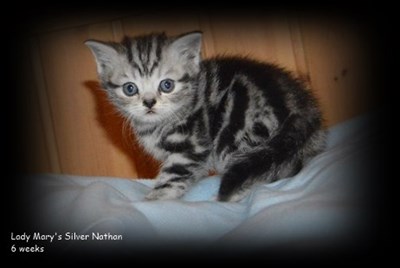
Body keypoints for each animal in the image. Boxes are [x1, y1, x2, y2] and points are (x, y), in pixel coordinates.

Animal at [86, 31, 326, 201]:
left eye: (166, 85)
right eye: (130, 89)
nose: (149, 103)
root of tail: (300, 102)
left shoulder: (192, 147)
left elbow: (171, 178)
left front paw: (152, 200)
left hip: (237, 135)